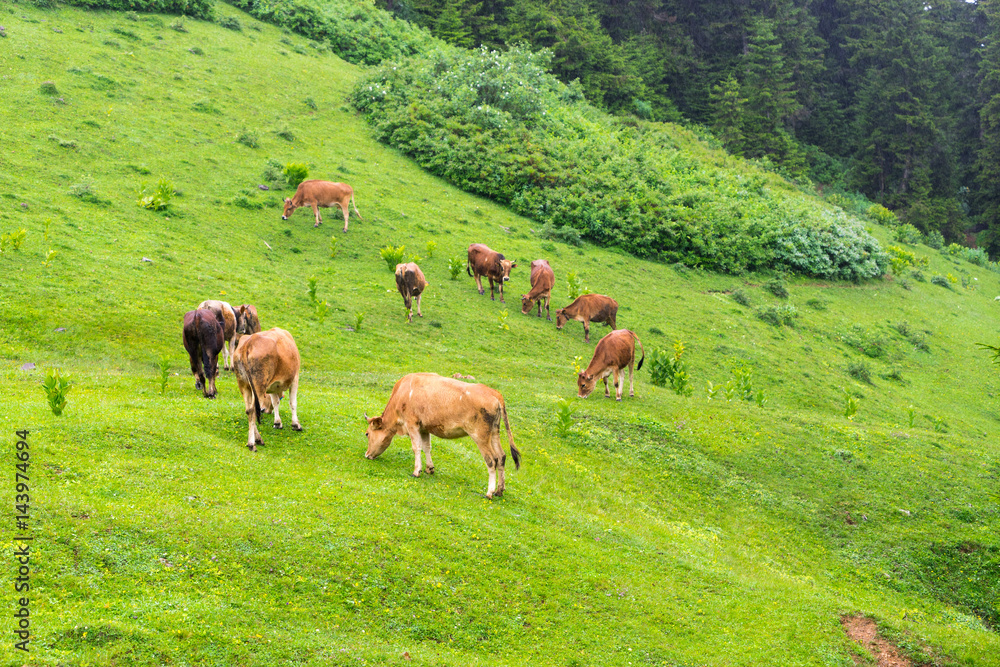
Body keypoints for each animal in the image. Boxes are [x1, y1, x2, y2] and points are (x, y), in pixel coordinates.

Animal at [363, 373, 521, 498]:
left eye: (367, 434)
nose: (366, 455)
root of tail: (494, 392)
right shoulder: (424, 427)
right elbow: (426, 447)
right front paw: (429, 468)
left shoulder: (412, 423)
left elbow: (416, 447)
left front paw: (416, 471)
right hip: (494, 433)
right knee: (501, 457)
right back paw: (499, 490)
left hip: (480, 436)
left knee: (492, 460)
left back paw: (489, 492)